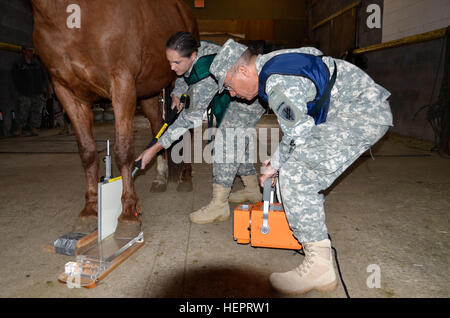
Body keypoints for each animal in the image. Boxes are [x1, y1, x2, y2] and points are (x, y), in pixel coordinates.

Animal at [31, 0, 199, 237]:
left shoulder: (122, 81)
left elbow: (123, 150)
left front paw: (128, 214)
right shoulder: (66, 91)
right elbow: (87, 152)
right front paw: (90, 211)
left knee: (186, 130)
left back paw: (185, 177)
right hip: (148, 92)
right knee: (158, 126)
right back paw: (160, 178)